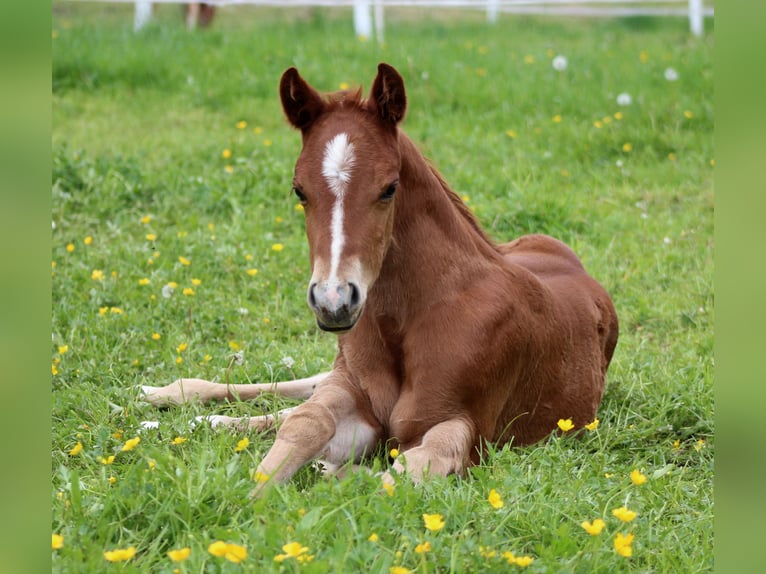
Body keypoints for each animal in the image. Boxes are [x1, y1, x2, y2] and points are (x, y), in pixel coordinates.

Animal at [141, 63, 618, 489]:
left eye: (389, 188)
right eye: (299, 190)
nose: (334, 302)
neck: (410, 317)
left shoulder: (468, 427)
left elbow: (412, 466)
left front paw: (334, 473)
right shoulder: (355, 396)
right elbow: (305, 423)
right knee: (298, 394)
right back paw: (169, 404)